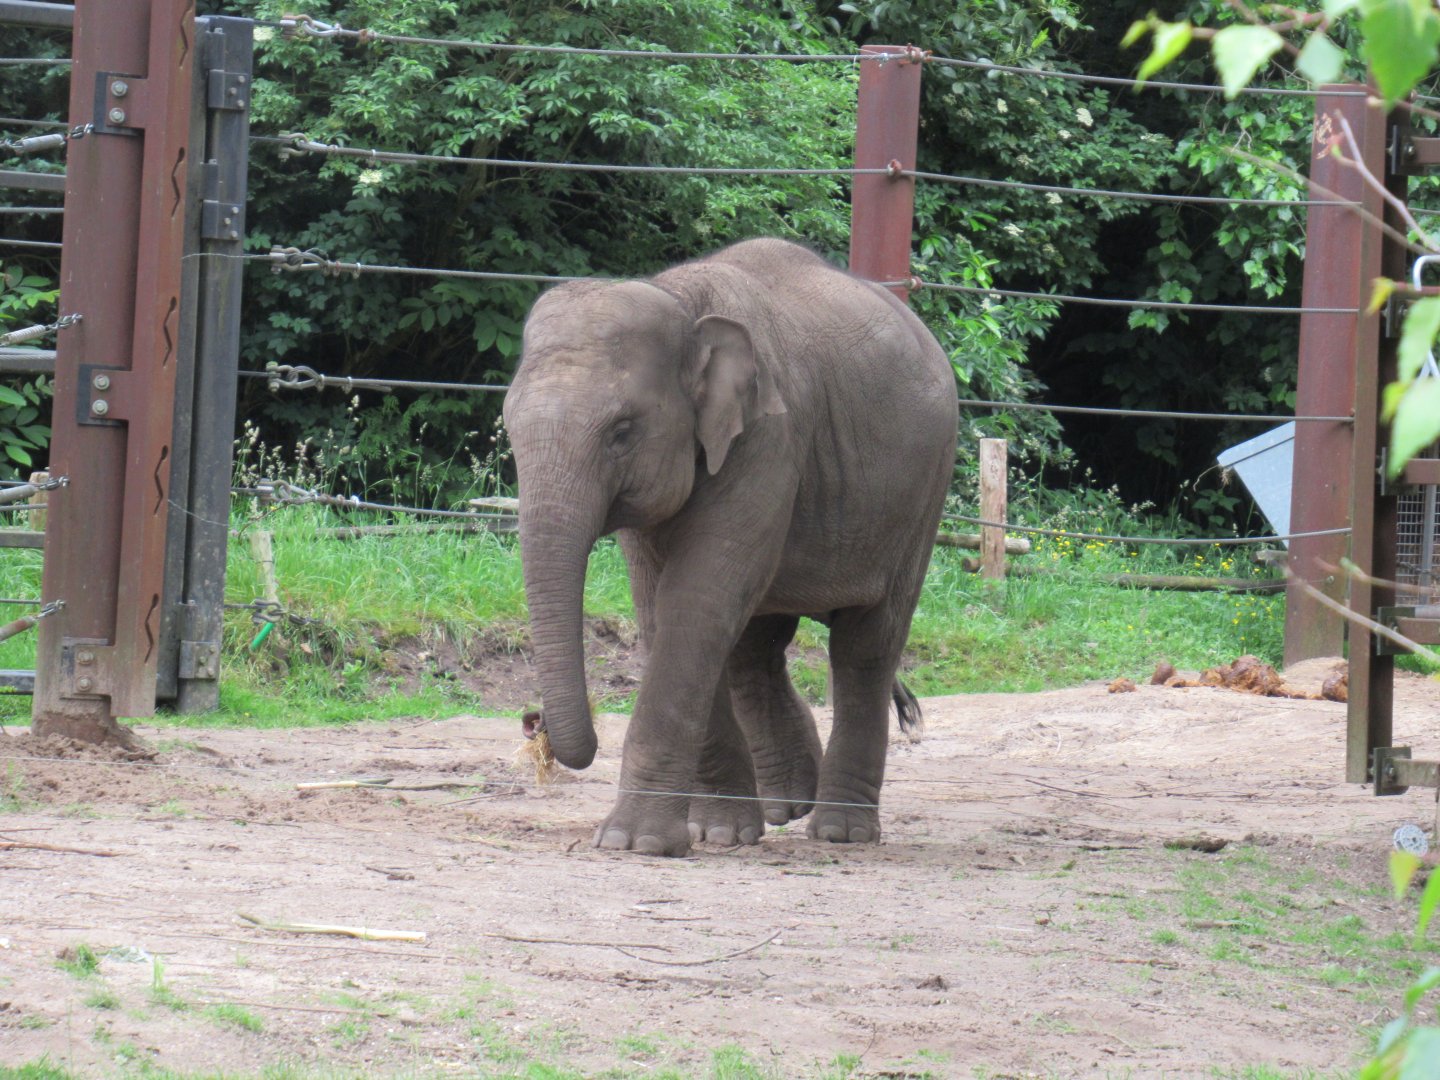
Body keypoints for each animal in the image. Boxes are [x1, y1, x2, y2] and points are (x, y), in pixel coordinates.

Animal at [503, 238, 958, 856]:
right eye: (507, 427)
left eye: (622, 431)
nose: (535, 721)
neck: (680, 301)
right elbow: (663, 609)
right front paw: (717, 834)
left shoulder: (769, 437)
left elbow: (694, 603)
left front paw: (634, 843)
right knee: (756, 645)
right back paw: (788, 805)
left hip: (922, 495)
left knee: (865, 645)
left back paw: (839, 831)